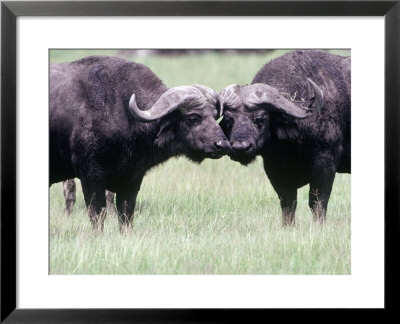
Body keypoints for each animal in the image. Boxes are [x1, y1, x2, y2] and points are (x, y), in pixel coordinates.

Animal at [51, 55, 230, 230]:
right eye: (193, 117)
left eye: (214, 116)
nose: (222, 145)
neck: (121, 109)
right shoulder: (91, 177)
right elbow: (97, 214)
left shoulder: (132, 180)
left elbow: (126, 215)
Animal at [219, 50, 350, 225]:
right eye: (228, 119)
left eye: (261, 118)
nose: (240, 147)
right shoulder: (274, 169)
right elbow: (288, 202)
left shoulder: (325, 163)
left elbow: (317, 202)